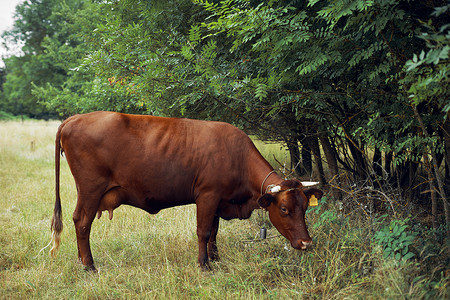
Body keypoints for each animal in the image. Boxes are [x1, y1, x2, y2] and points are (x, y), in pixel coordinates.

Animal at [50, 111, 324, 270]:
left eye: (304, 208)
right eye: (284, 209)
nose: (307, 243)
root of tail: (74, 118)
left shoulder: (218, 201)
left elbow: (214, 231)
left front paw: (216, 258)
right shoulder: (207, 195)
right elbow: (203, 231)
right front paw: (204, 265)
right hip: (91, 189)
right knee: (82, 222)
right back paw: (89, 265)